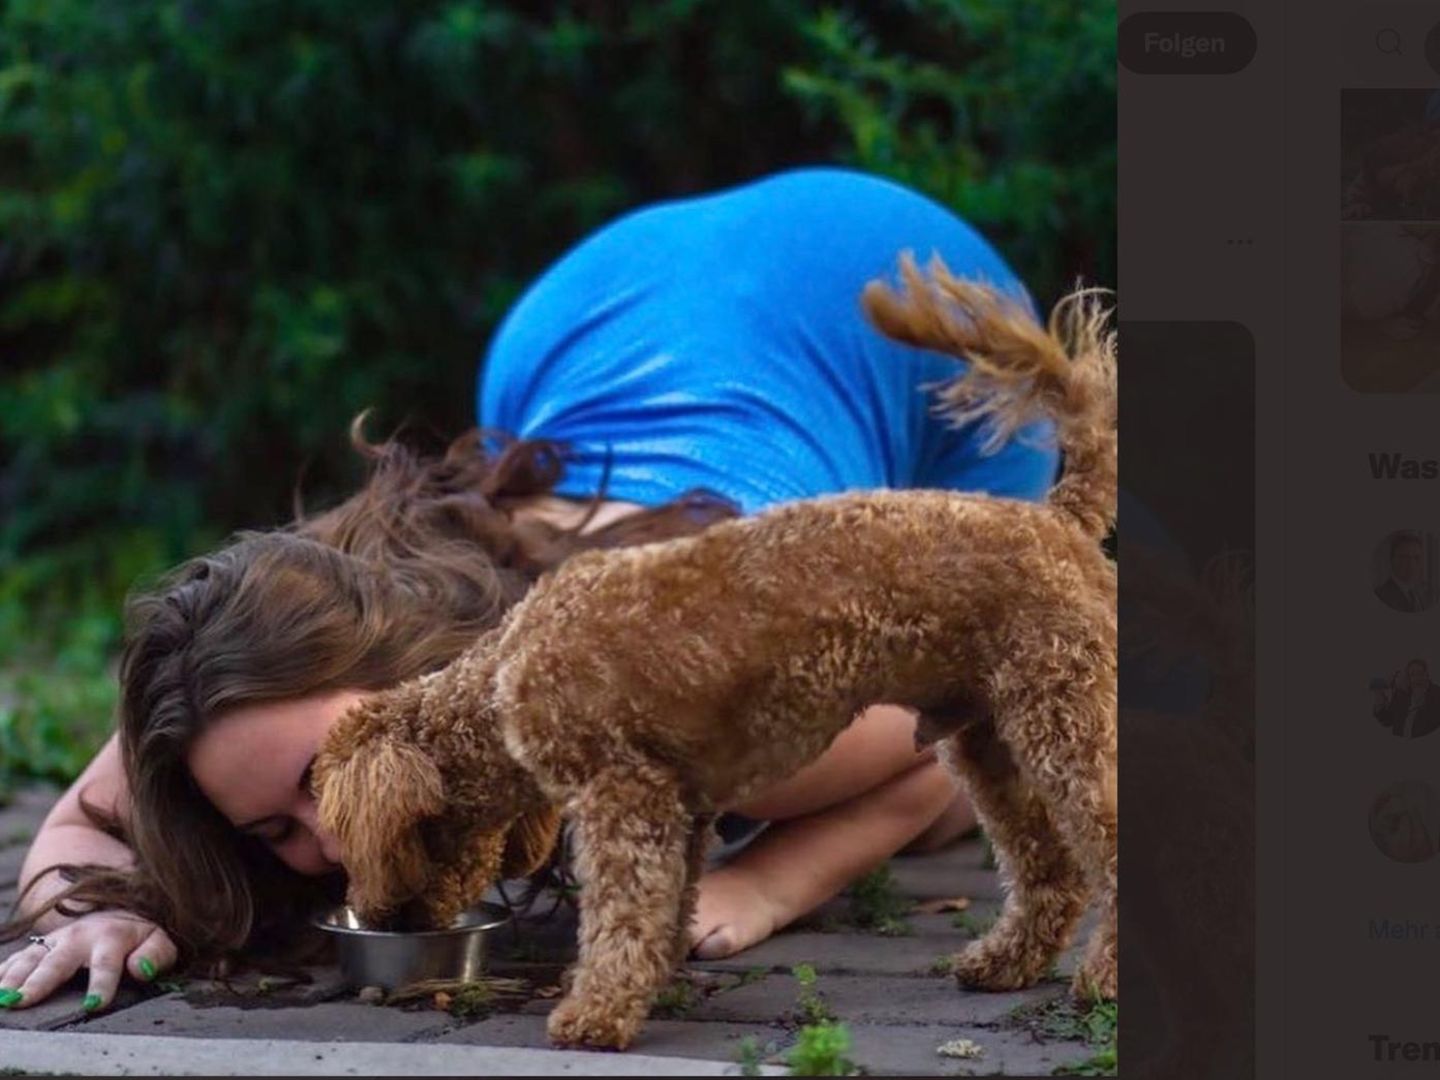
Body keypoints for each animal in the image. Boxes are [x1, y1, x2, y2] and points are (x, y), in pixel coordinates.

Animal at [315, 257, 1117, 1054]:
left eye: (370, 847)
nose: (383, 920)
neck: (502, 675)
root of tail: (1059, 518)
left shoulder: (622, 793)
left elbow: (624, 912)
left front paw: (596, 1012)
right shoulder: (685, 805)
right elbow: (667, 910)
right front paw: (654, 983)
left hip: (1066, 721)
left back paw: (1103, 979)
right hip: (990, 738)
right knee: (1049, 867)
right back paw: (1007, 961)